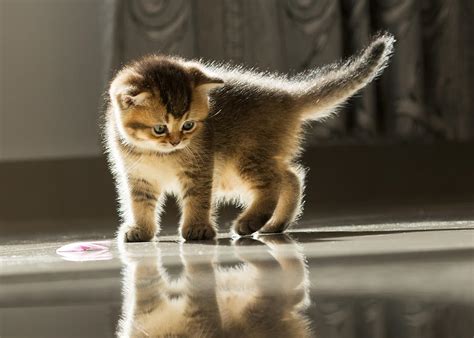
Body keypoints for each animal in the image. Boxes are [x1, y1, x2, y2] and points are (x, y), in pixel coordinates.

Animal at [105, 33, 394, 242]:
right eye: (159, 129)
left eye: (188, 125)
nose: (176, 141)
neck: (158, 154)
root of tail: (288, 96)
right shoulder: (137, 175)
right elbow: (138, 203)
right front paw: (141, 230)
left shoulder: (200, 167)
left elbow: (198, 198)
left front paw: (197, 228)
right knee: (291, 177)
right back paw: (276, 224)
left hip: (243, 160)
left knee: (274, 183)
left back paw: (251, 222)